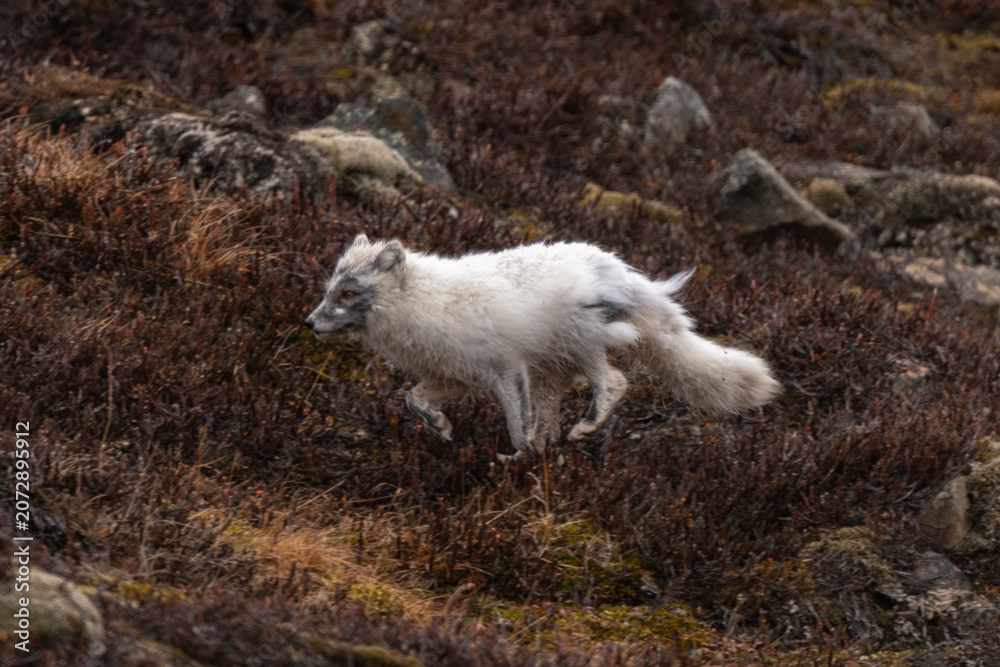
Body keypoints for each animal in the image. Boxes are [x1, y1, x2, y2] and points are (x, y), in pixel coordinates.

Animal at [305, 234, 779, 458]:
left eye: (349, 293)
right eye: (329, 290)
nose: (308, 323)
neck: (425, 301)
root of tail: (623, 273)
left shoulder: (506, 370)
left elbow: (518, 426)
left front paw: (516, 460)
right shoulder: (454, 376)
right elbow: (413, 399)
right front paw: (440, 427)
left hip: (578, 341)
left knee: (614, 382)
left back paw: (578, 431)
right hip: (553, 370)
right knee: (556, 419)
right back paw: (550, 453)